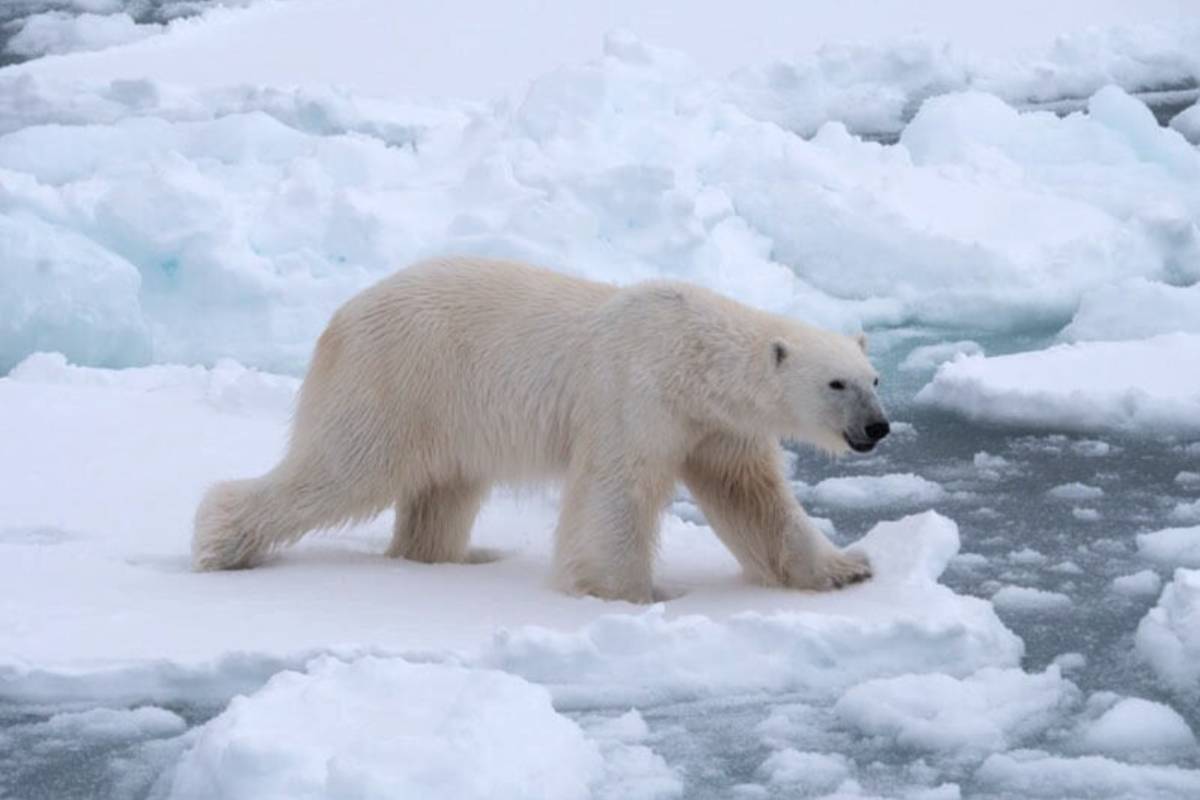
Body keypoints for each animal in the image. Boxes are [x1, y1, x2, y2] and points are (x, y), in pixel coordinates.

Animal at [192, 256, 892, 599]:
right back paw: (221, 544)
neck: (691, 354)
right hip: (397, 379)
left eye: (875, 379)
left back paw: (444, 558)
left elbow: (755, 499)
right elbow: (616, 491)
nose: (878, 428)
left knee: (442, 492)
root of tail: (339, 317)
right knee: (345, 466)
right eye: (837, 384)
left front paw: (845, 569)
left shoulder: (716, 427)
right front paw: (629, 593)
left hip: (447, 411)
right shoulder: (634, 395)